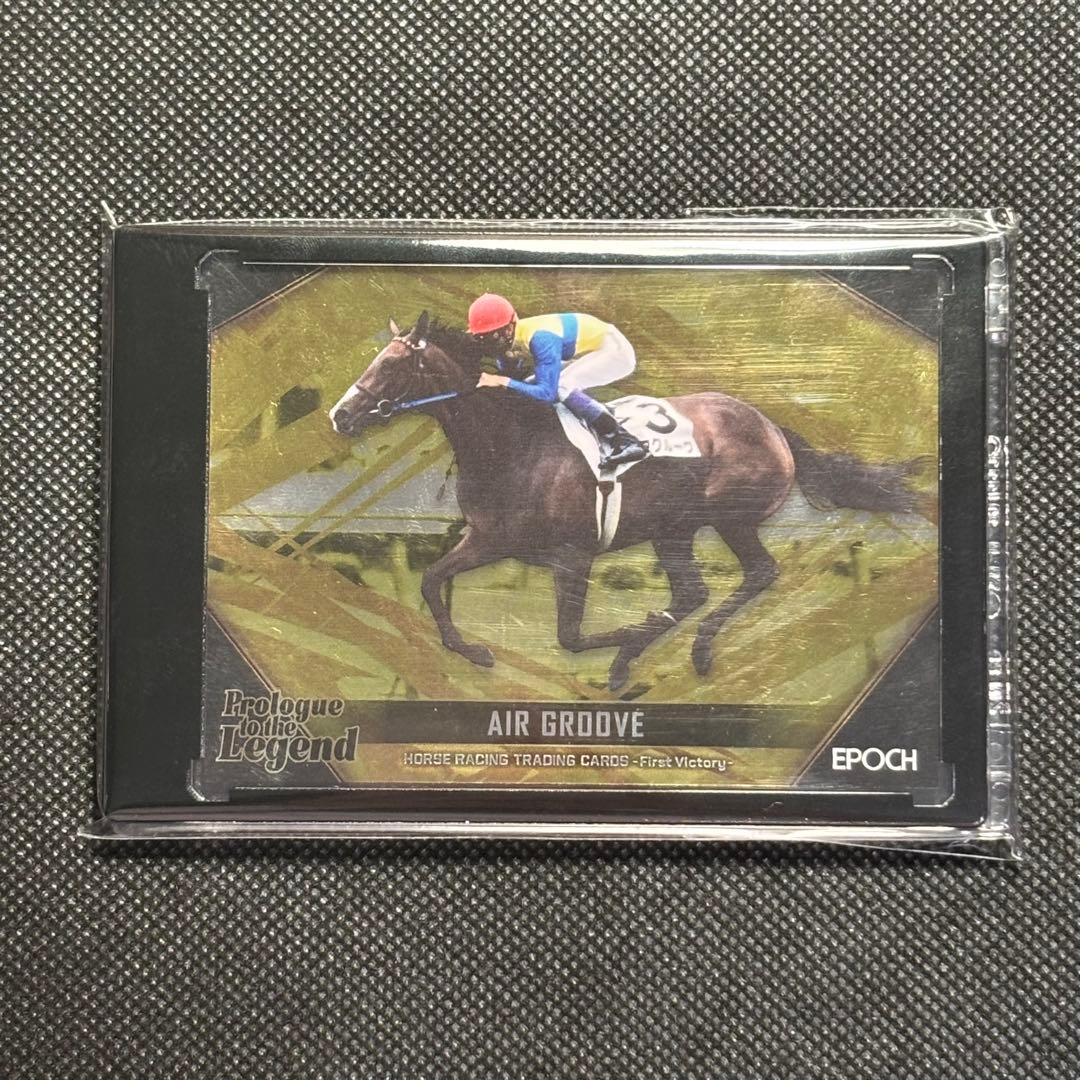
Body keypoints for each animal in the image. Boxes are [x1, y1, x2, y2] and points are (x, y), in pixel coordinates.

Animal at [329, 312, 923, 693]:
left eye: (390, 367)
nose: (340, 415)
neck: (514, 443)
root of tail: (771, 425)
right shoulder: (491, 539)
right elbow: (433, 582)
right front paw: (475, 652)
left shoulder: (573, 554)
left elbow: (569, 637)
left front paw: (627, 637)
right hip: (673, 530)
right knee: (693, 592)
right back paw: (633, 659)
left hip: (728, 519)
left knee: (756, 575)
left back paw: (685, 651)